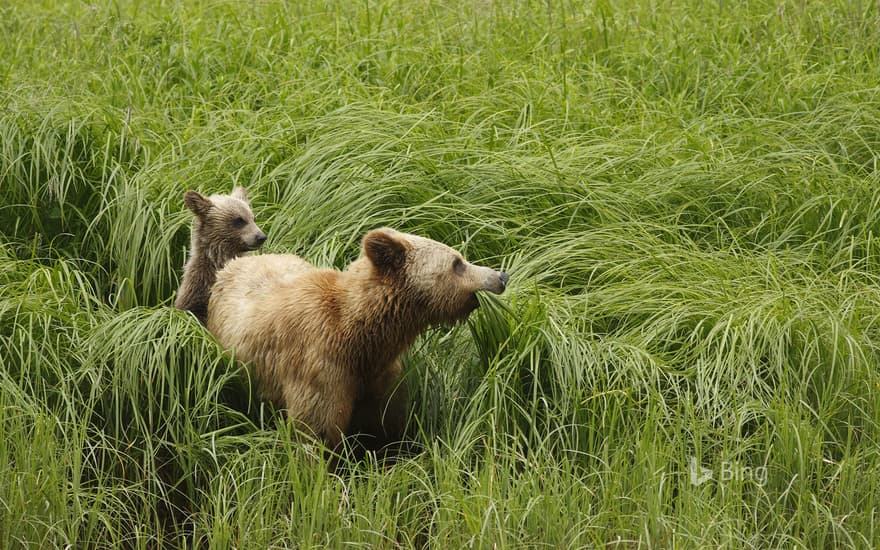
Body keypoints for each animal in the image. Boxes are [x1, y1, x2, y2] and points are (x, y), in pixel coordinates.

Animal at [207, 229, 508, 452]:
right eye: (457, 263)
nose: (500, 275)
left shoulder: (379, 376)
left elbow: (385, 426)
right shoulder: (319, 366)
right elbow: (317, 431)